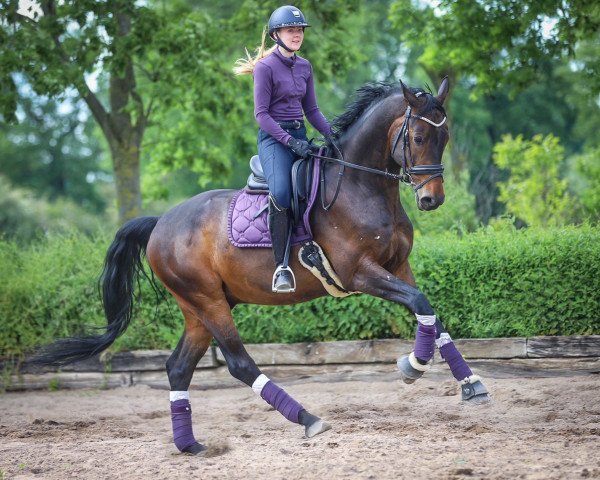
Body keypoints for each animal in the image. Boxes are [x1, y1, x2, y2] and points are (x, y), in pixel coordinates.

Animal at [34, 78, 488, 454]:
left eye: (445, 136)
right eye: (418, 135)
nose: (432, 199)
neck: (361, 186)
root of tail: (160, 223)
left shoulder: (399, 265)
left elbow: (429, 311)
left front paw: (471, 384)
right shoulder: (359, 273)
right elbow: (420, 303)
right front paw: (413, 366)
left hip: (200, 308)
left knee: (178, 367)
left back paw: (190, 445)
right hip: (208, 301)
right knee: (238, 363)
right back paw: (307, 418)